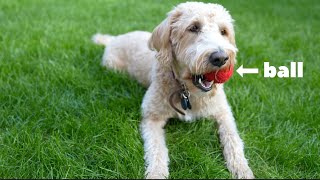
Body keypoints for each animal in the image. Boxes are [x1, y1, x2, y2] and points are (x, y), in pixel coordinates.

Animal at [92, 1, 255, 179]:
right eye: (193, 27)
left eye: (223, 31)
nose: (220, 58)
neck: (188, 91)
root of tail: (115, 38)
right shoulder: (151, 117)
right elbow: (157, 149)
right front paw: (156, 172)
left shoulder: (223, 113)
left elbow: (233, 139)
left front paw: (242, 168)